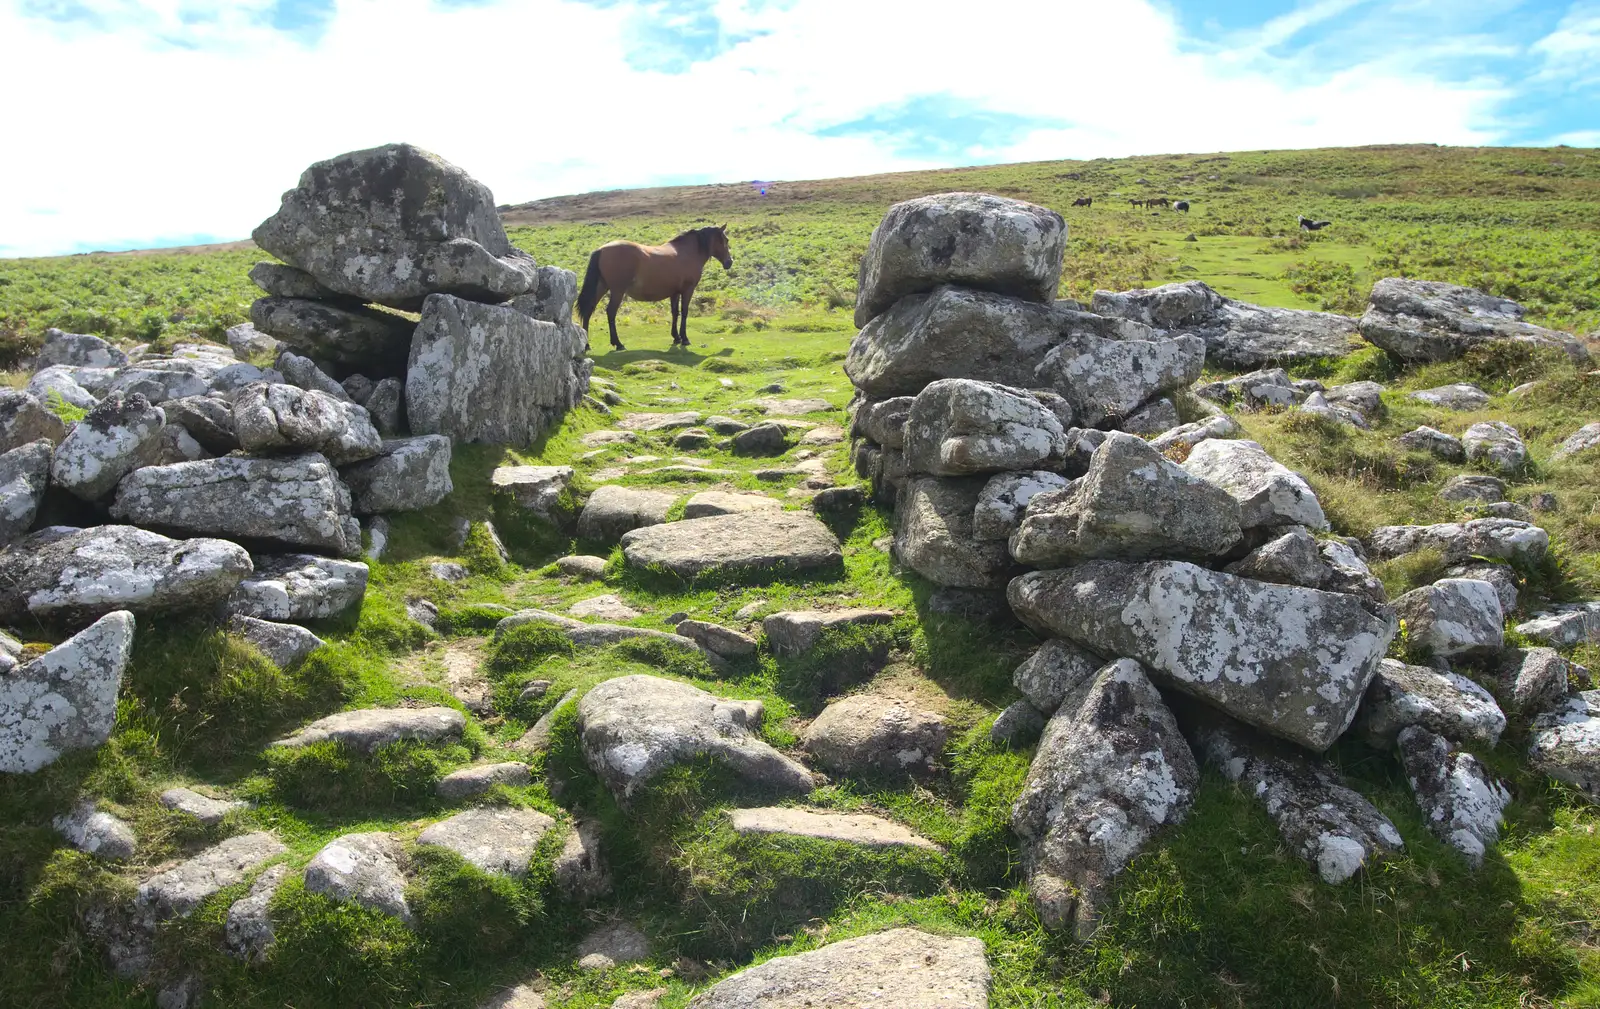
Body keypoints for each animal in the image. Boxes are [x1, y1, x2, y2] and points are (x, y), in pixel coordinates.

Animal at [576, 225, 732, 351]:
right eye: (725, 240)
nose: (729, 262)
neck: (688, 252)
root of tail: (601, 250)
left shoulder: (675, 292)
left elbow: (675, 313)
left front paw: (676, 337)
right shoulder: (688, 290)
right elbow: (684, 312)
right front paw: (684, 338)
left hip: (602, 287)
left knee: (588, 310)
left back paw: (587, 345)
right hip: (617, 291)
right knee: (611, 312)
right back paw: (618, 344)